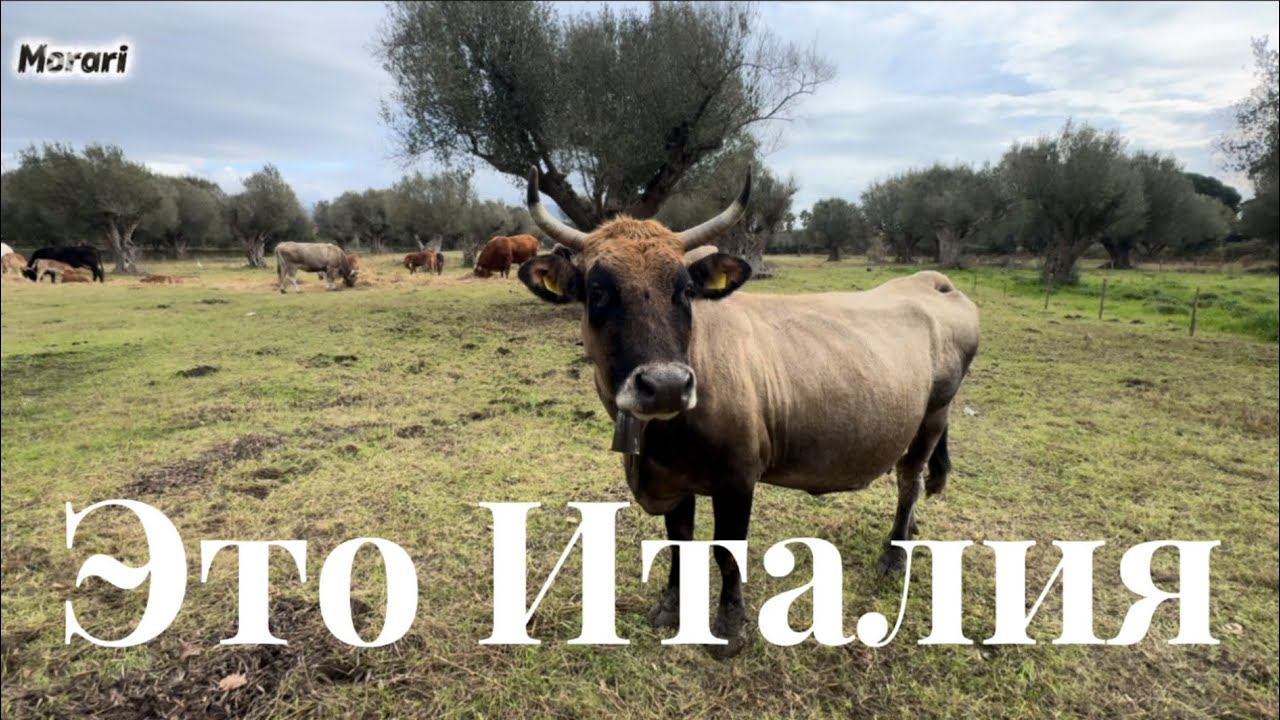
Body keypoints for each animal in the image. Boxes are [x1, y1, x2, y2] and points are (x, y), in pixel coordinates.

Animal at [518, 167, 980, 659]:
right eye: (599, 291)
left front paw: (729, 626)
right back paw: (910, 533)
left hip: (933, 414)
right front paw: (671, 606)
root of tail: (933, 283)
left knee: (910, 481)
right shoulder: (673, 482)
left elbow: (726, 552)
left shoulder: (738, 478)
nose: (666, 385)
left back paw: (894, 553)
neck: (661, 439)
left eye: (686, 290)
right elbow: (679, 541)